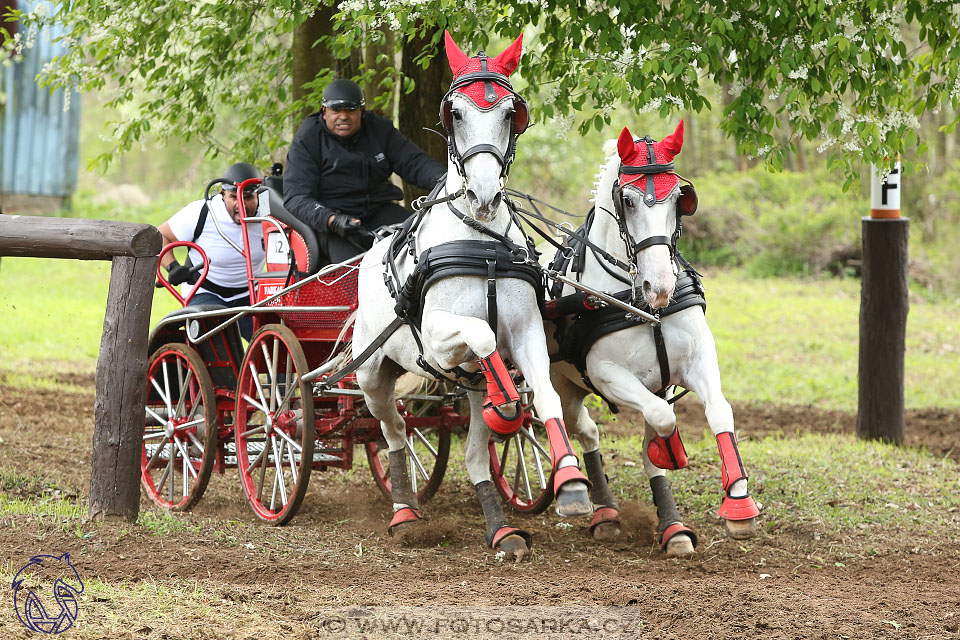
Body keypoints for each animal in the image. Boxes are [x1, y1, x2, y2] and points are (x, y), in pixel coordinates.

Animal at [350, 31, 592, 560]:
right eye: (456, 113)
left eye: (509, 112)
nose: (483, 194)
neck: (481, 246)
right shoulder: (441, 340)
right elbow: (481, 334)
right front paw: (507, 400)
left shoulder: (528, 333)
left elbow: (544, 395)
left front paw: (570, 482)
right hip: (372, 375)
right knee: (393, 433)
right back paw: (405, 513)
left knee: (475, 454)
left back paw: (502, 530)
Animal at [544, 122, 760, 556]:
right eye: (627, 201)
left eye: (679, 198)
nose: (659, 287)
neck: (645, 308)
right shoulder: (608, 374)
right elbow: (663, 420)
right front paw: (672, 451)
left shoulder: (691, 364)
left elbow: (718, 413)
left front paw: (731, 507)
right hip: (563, 385)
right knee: (584, 430)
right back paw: (601, 511)